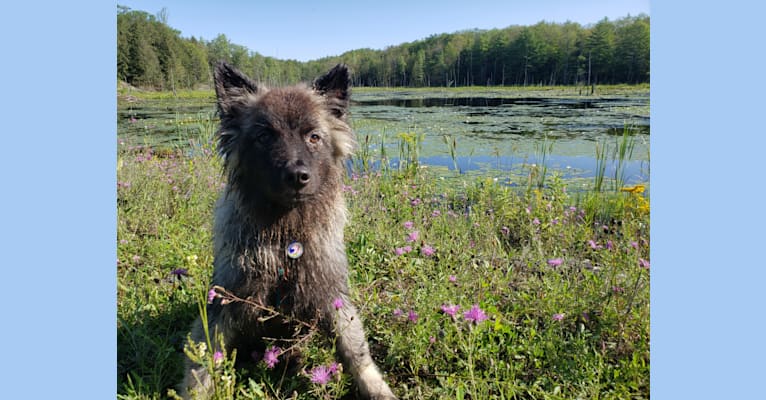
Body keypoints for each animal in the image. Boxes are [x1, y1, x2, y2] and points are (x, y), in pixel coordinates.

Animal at [180, 62, 396, 400]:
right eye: (264, 136)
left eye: (314, 137)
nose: (297, 175)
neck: (286, 238)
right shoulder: (226, 303)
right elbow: (203, 363)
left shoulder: (332, 297)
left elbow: (356, 352)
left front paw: (376, 389)